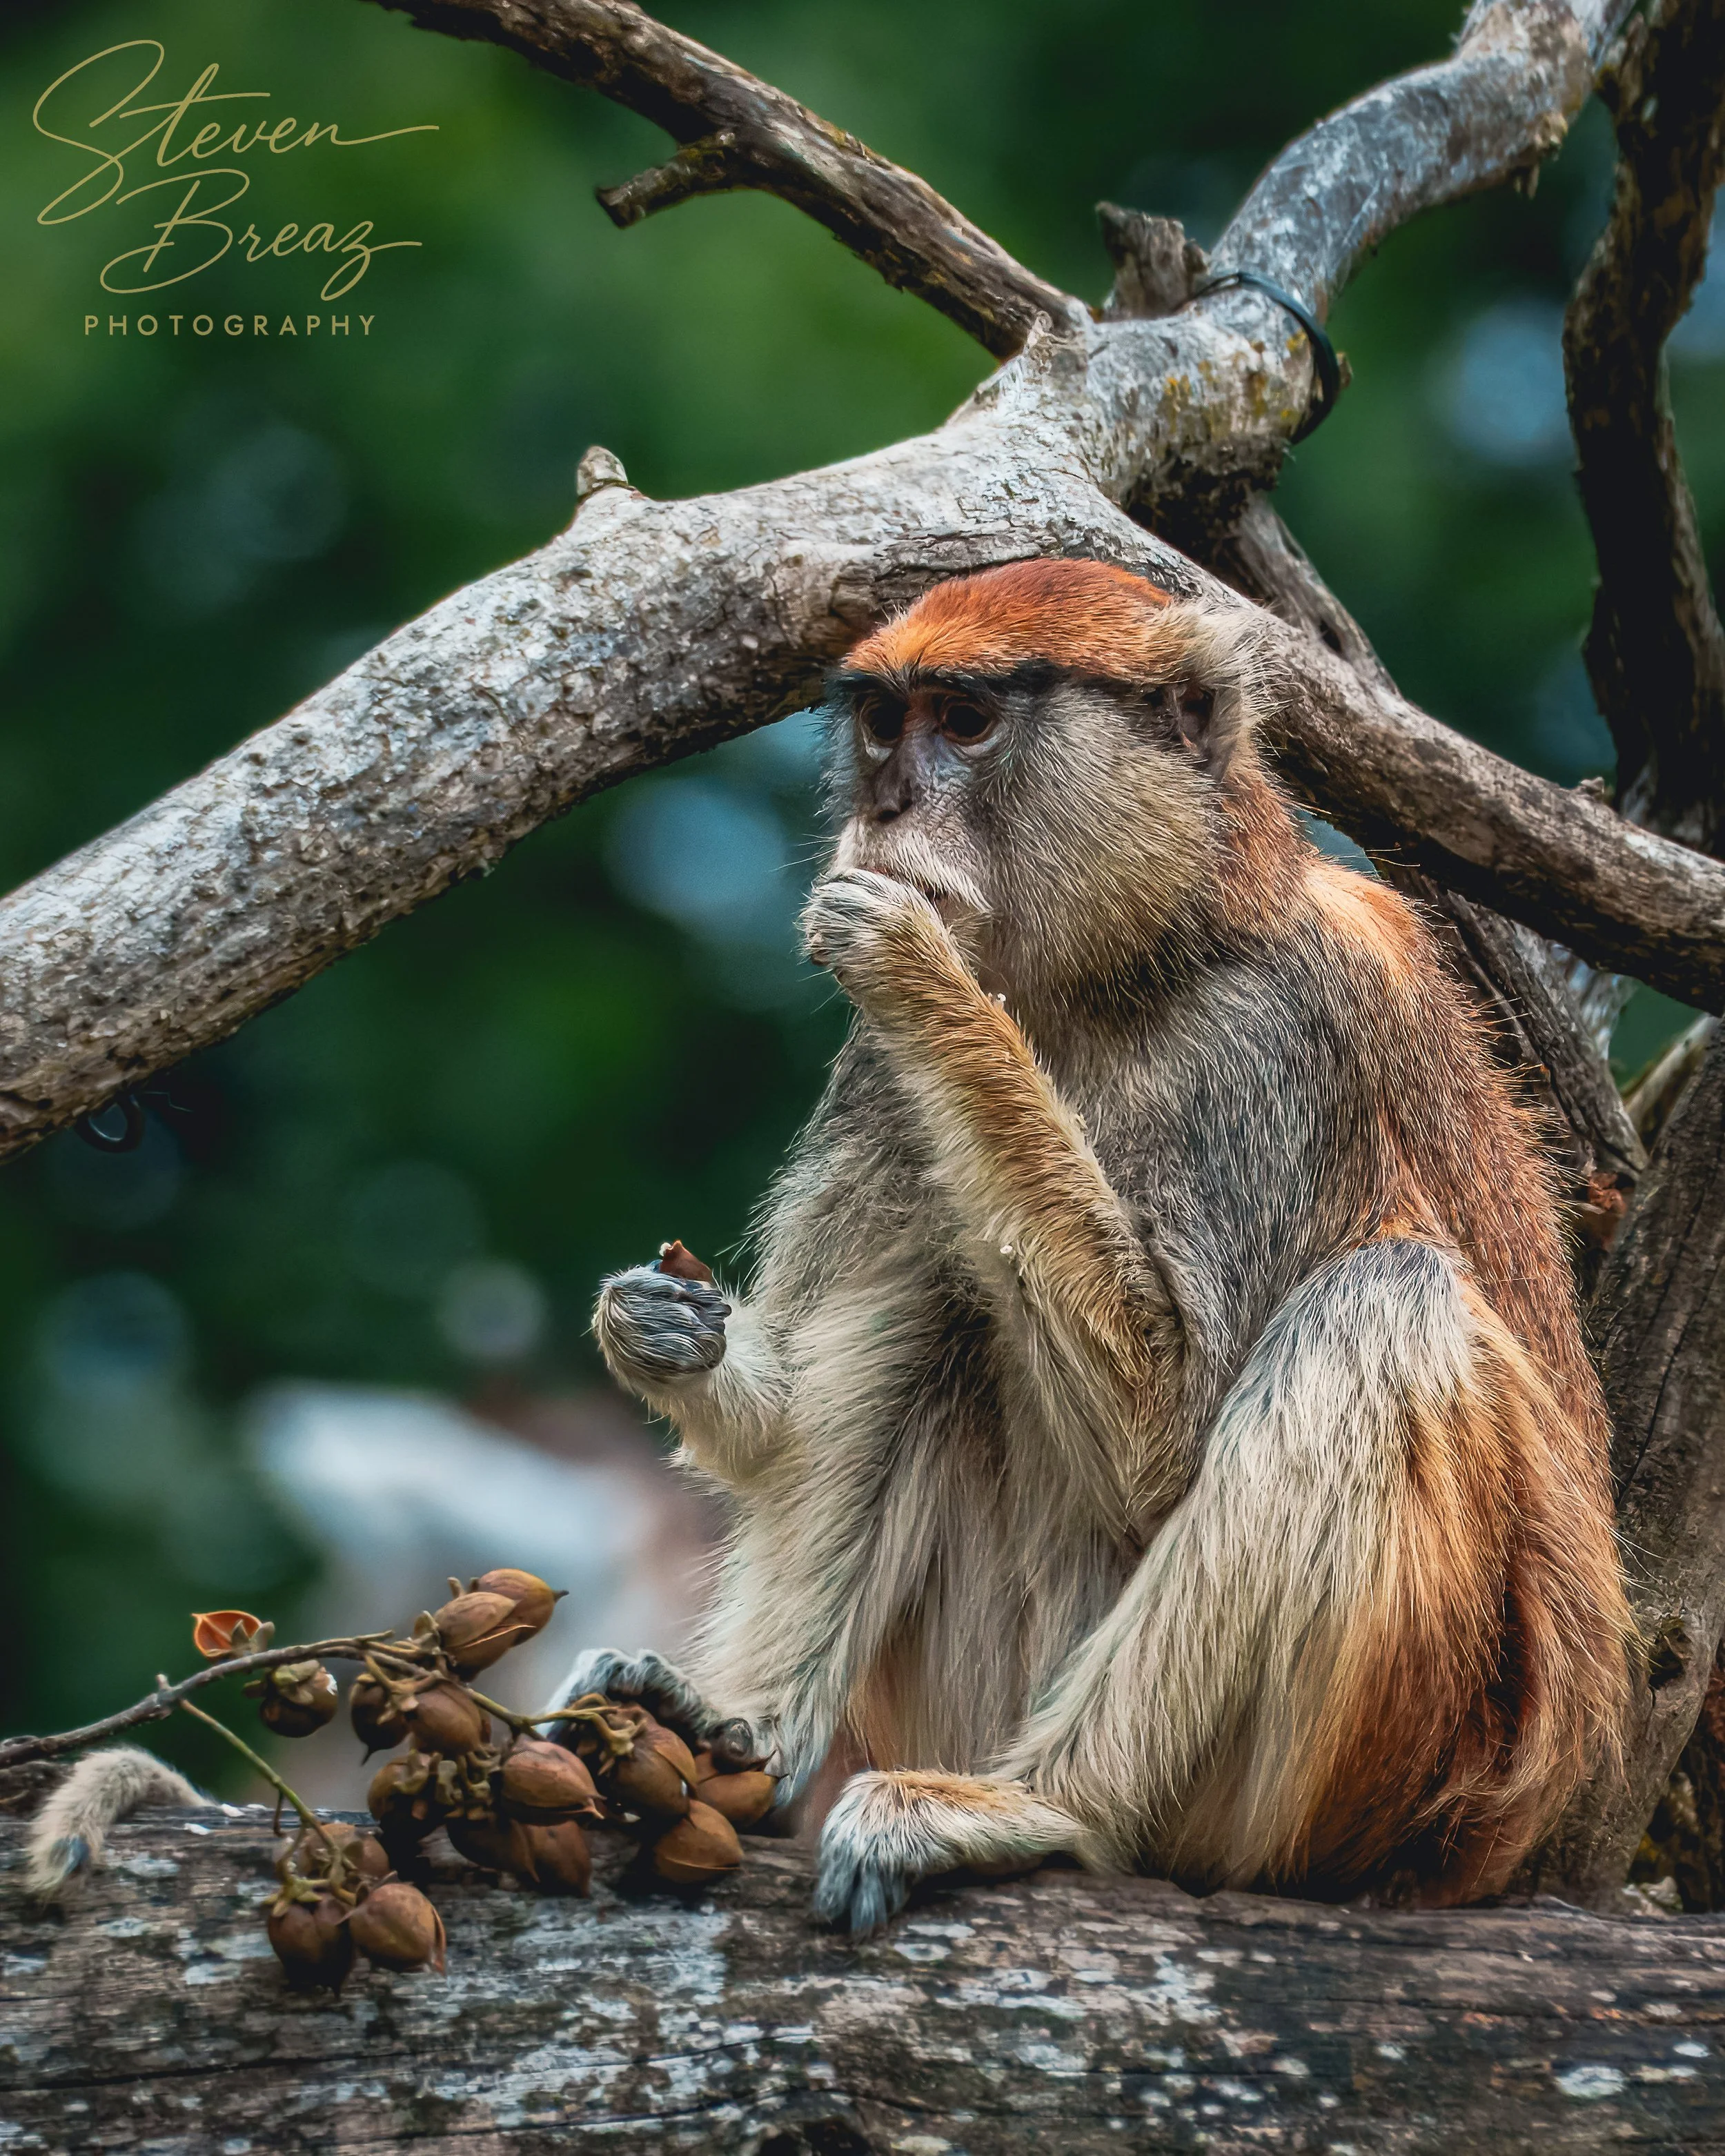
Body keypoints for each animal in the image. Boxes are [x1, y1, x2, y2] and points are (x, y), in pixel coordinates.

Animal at [569, 556, 1631, 1937]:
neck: (1145, 952)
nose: (889, 803)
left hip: (1401, 1764)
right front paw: (664, 1332)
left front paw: (924, 977)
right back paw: (734, 1737)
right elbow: (788, 1419)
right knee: (950, 1280)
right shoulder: (877, 1081)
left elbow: (1163, 1442)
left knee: (1382, 1305)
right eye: (883, 721)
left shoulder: (1285, 1043)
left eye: (966, 720)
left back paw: (1035, 1808)